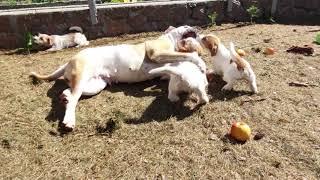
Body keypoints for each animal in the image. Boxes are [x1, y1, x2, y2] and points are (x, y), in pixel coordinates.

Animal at [30, 25, 205, 129]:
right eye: (187, 26)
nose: (197, 28)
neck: (171, 41)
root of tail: (69, 61)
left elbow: (170, 71)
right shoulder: (157, 53)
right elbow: (187, 56)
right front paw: (201, 64)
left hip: (95, 85)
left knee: (69, 93)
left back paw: (64, 98)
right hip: (81, 77)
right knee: (73, 99)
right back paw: (69, 121)